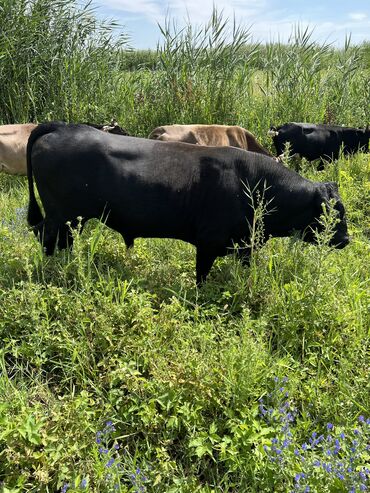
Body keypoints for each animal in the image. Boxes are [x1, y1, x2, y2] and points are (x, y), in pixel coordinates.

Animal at [27, 121, 348, 282]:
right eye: (333, 212)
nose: (346, 240)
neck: (256, 183)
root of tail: (63, 126)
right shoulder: (207, 243)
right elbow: (201, 278)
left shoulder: (244, 246)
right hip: (60, 215)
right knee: (47, 237)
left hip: (73, 219)